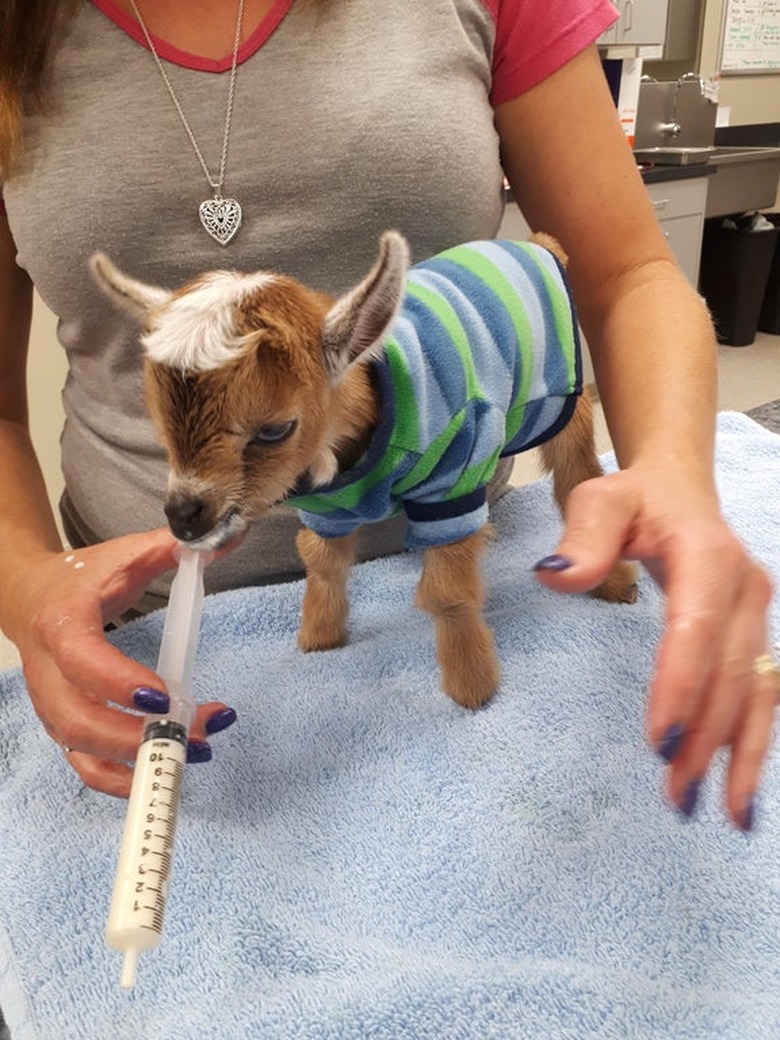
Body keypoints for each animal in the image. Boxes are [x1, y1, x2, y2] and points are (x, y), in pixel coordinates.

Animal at [93, 233, 636, 707]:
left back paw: (610, 580)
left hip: (556, 398)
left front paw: (472, 688)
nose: (185, 516)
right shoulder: (328, 507)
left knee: (576, 474)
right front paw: (318, 639)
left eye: (274, 430)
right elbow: (321, 561)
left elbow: (448, 590)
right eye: (159, 427)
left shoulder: (452, 482)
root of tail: (538, 244)